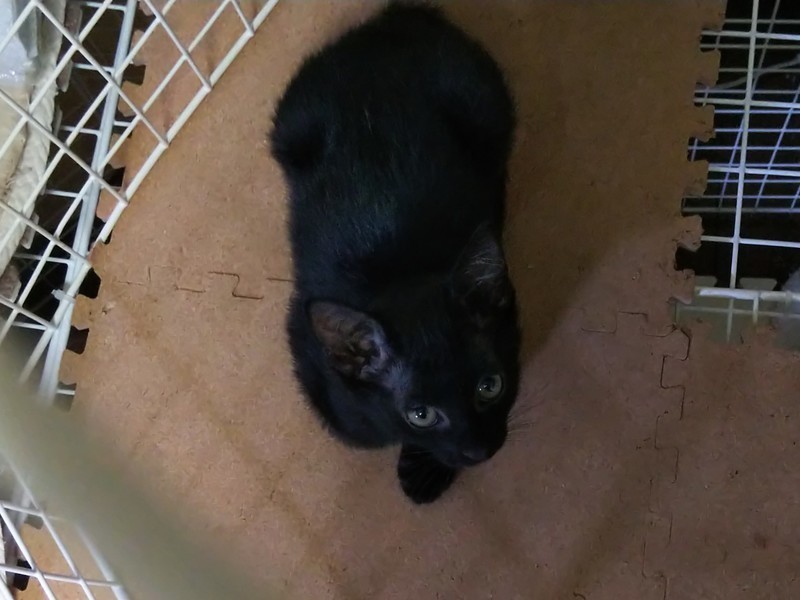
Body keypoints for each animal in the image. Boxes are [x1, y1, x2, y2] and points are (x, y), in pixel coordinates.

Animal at [270, 2, 521, 504]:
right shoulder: (314, 365)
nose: (479, 451)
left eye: (490, 386)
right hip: (291, 122)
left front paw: (426, 470)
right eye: (421, 415)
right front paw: (425, 460)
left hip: (482, 98)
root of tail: (393, 20)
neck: (397, 272)